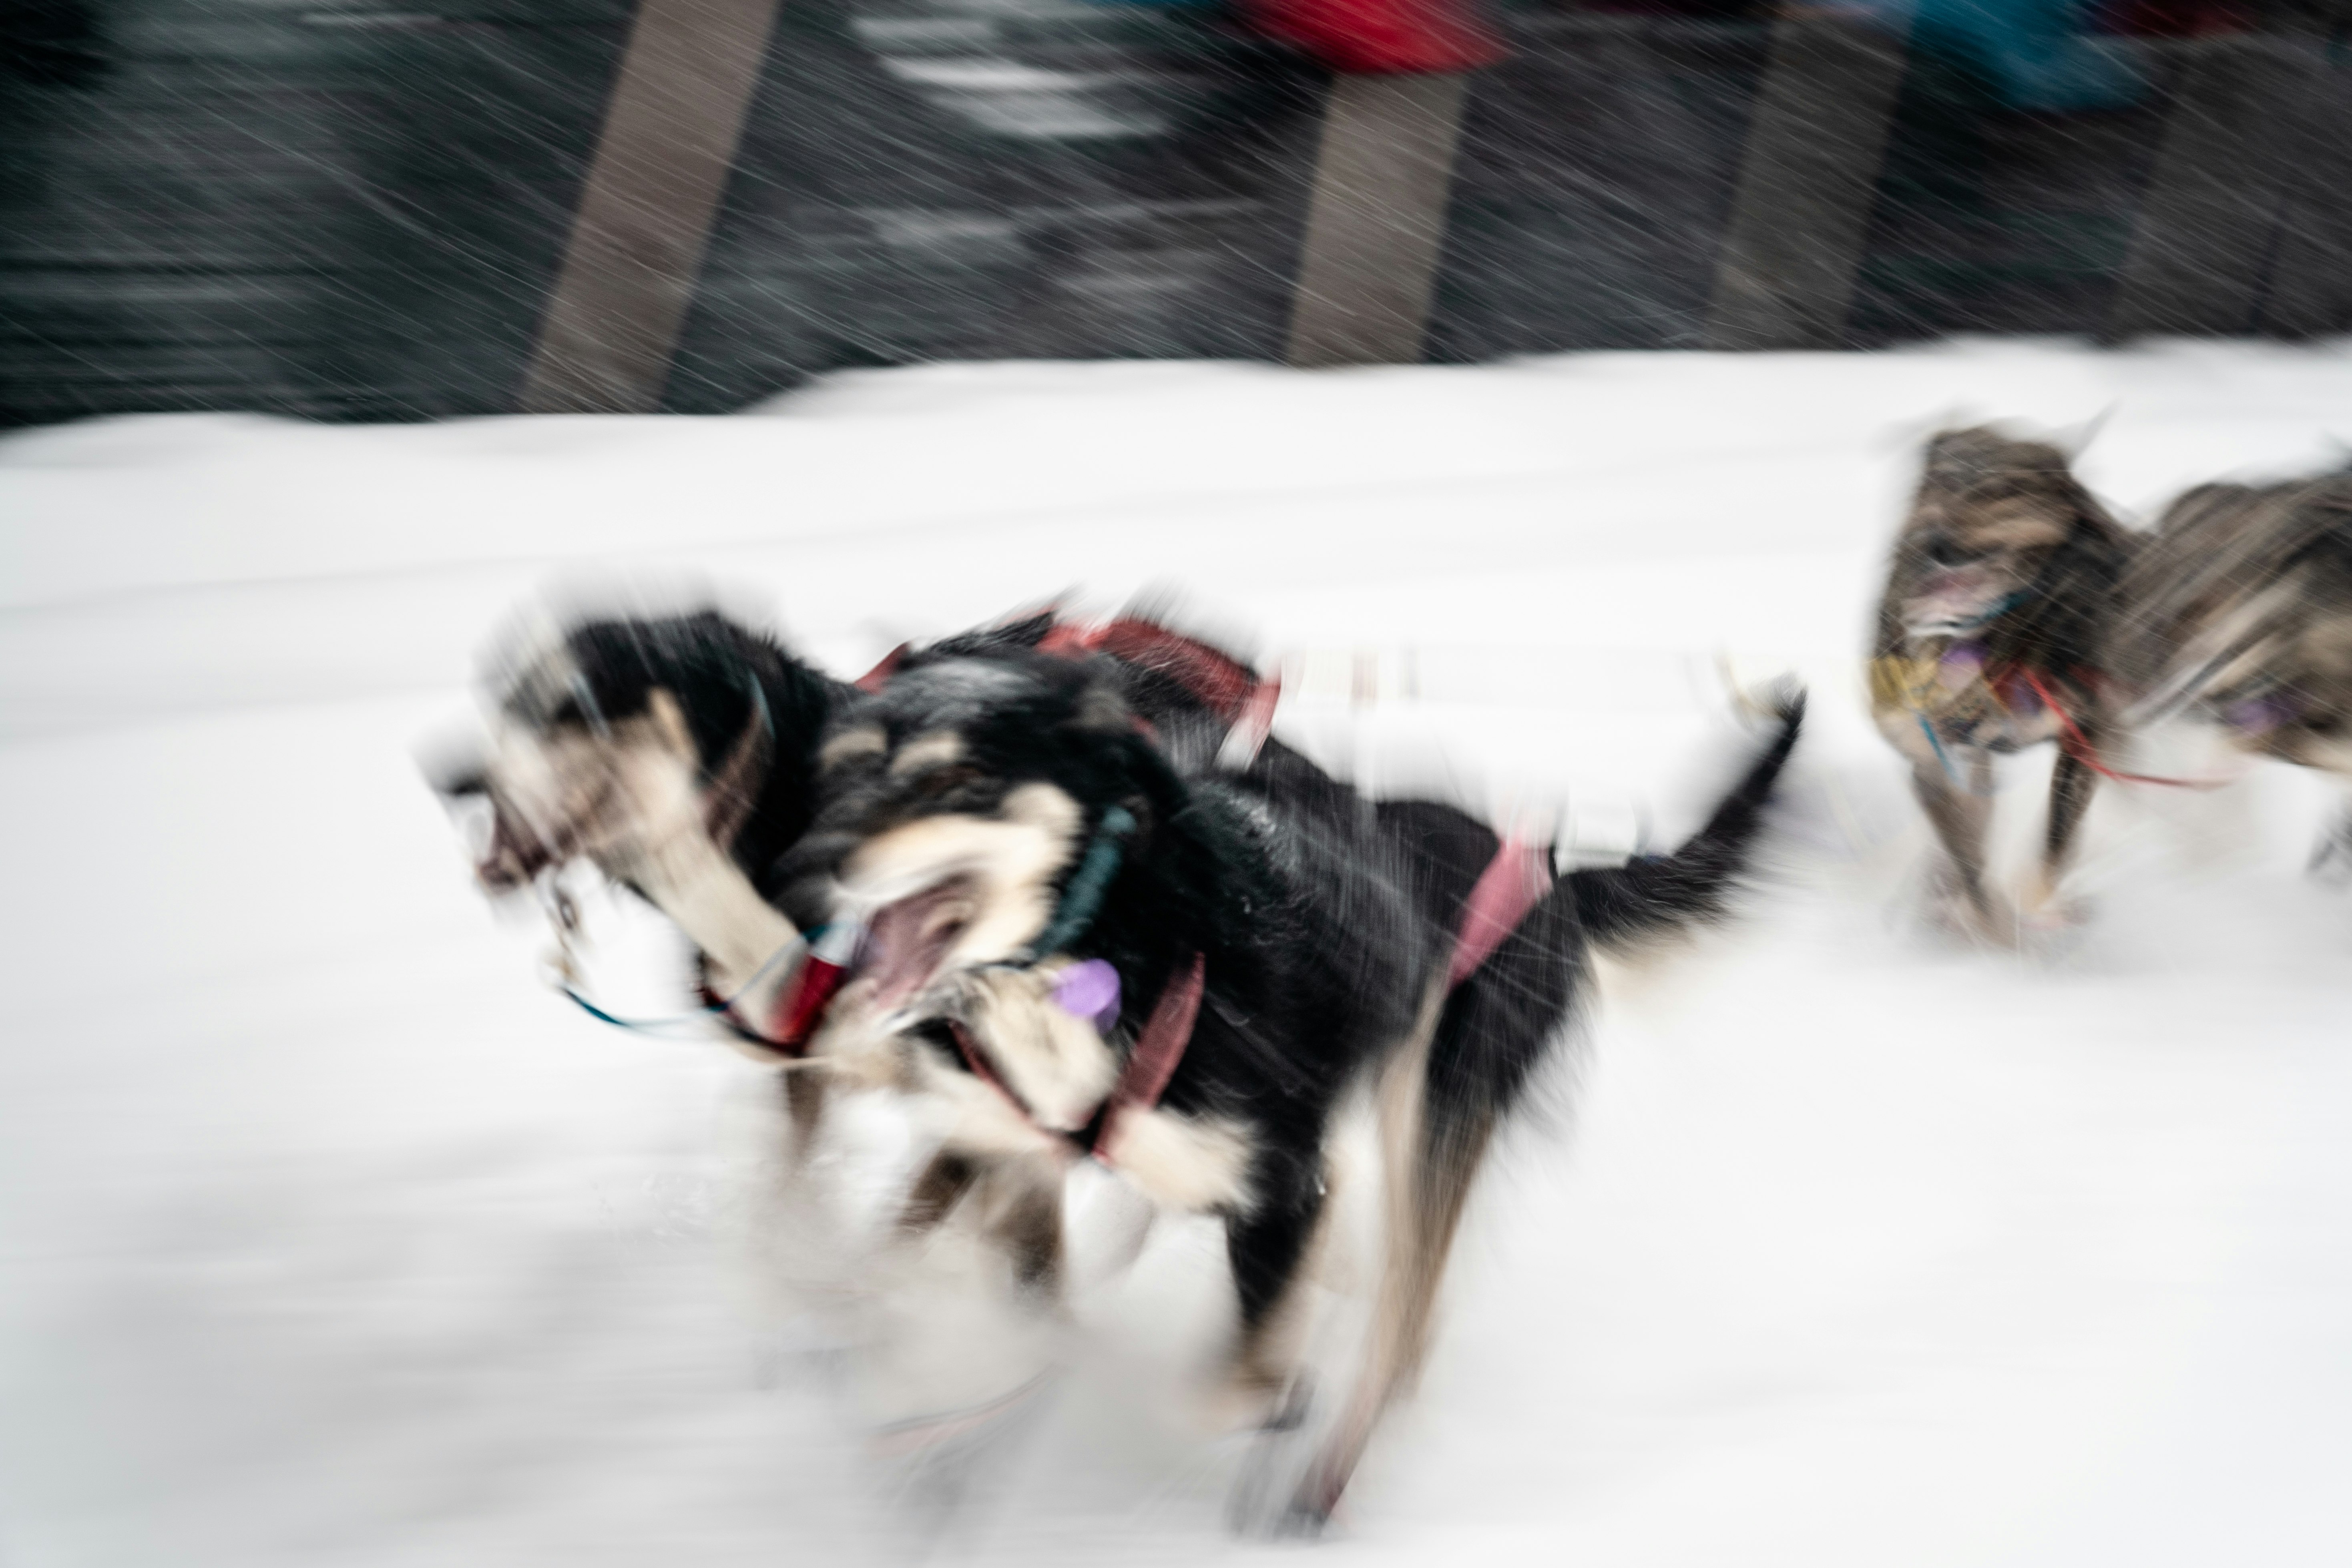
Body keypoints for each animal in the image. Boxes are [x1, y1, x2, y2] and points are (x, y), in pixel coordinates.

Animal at [1863, 423, 2145, 940]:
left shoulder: (2082, 740)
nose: (1935, 543)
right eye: (1941, 483)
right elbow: (1969, 860)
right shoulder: (1929, 761)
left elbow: (2056, 842)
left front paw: (2034, 908)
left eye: (2003, 491)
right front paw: (1985, 925)